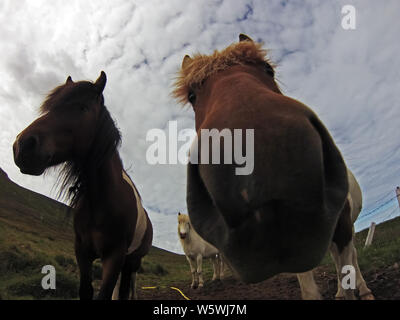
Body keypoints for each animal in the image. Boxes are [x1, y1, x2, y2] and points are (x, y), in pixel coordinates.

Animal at [12, 71, 153, 298]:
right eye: (50, 106)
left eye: (82, 108)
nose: (22, 146)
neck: (102, 199)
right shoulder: (82, 252)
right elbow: (86, 290)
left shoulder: (114, 257)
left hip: (132, 262)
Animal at [296, 170, 374, 300]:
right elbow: (308, 291)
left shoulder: (344, 229)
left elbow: (346, 273)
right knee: (337, 260)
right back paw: (340, 293)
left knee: (352, 256)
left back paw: (365, 291)